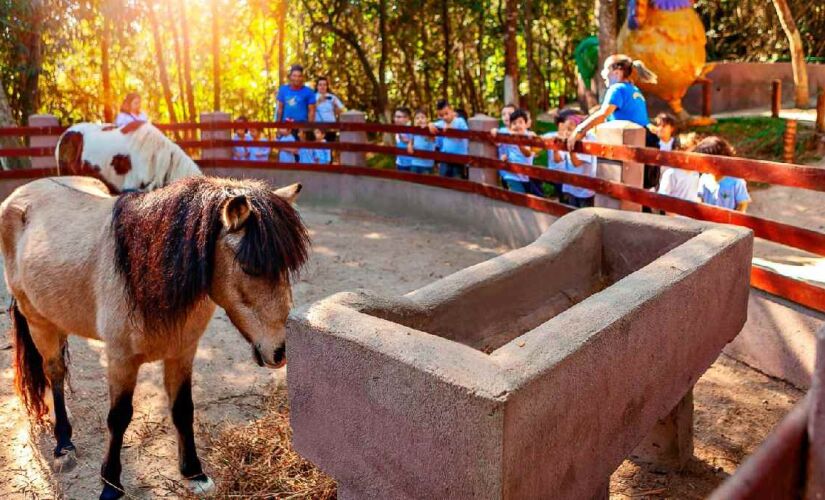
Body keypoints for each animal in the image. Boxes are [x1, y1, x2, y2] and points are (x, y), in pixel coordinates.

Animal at [0, 174, 308, 498]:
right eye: (249, 267)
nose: (281, 352)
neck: (144, 275)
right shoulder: (121, 359)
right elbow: (119, 417)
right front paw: (111, 484)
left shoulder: (182, 353)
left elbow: (183, 409)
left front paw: (194, 473)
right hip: (38, 321)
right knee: (55, 373)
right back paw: (63, 444)